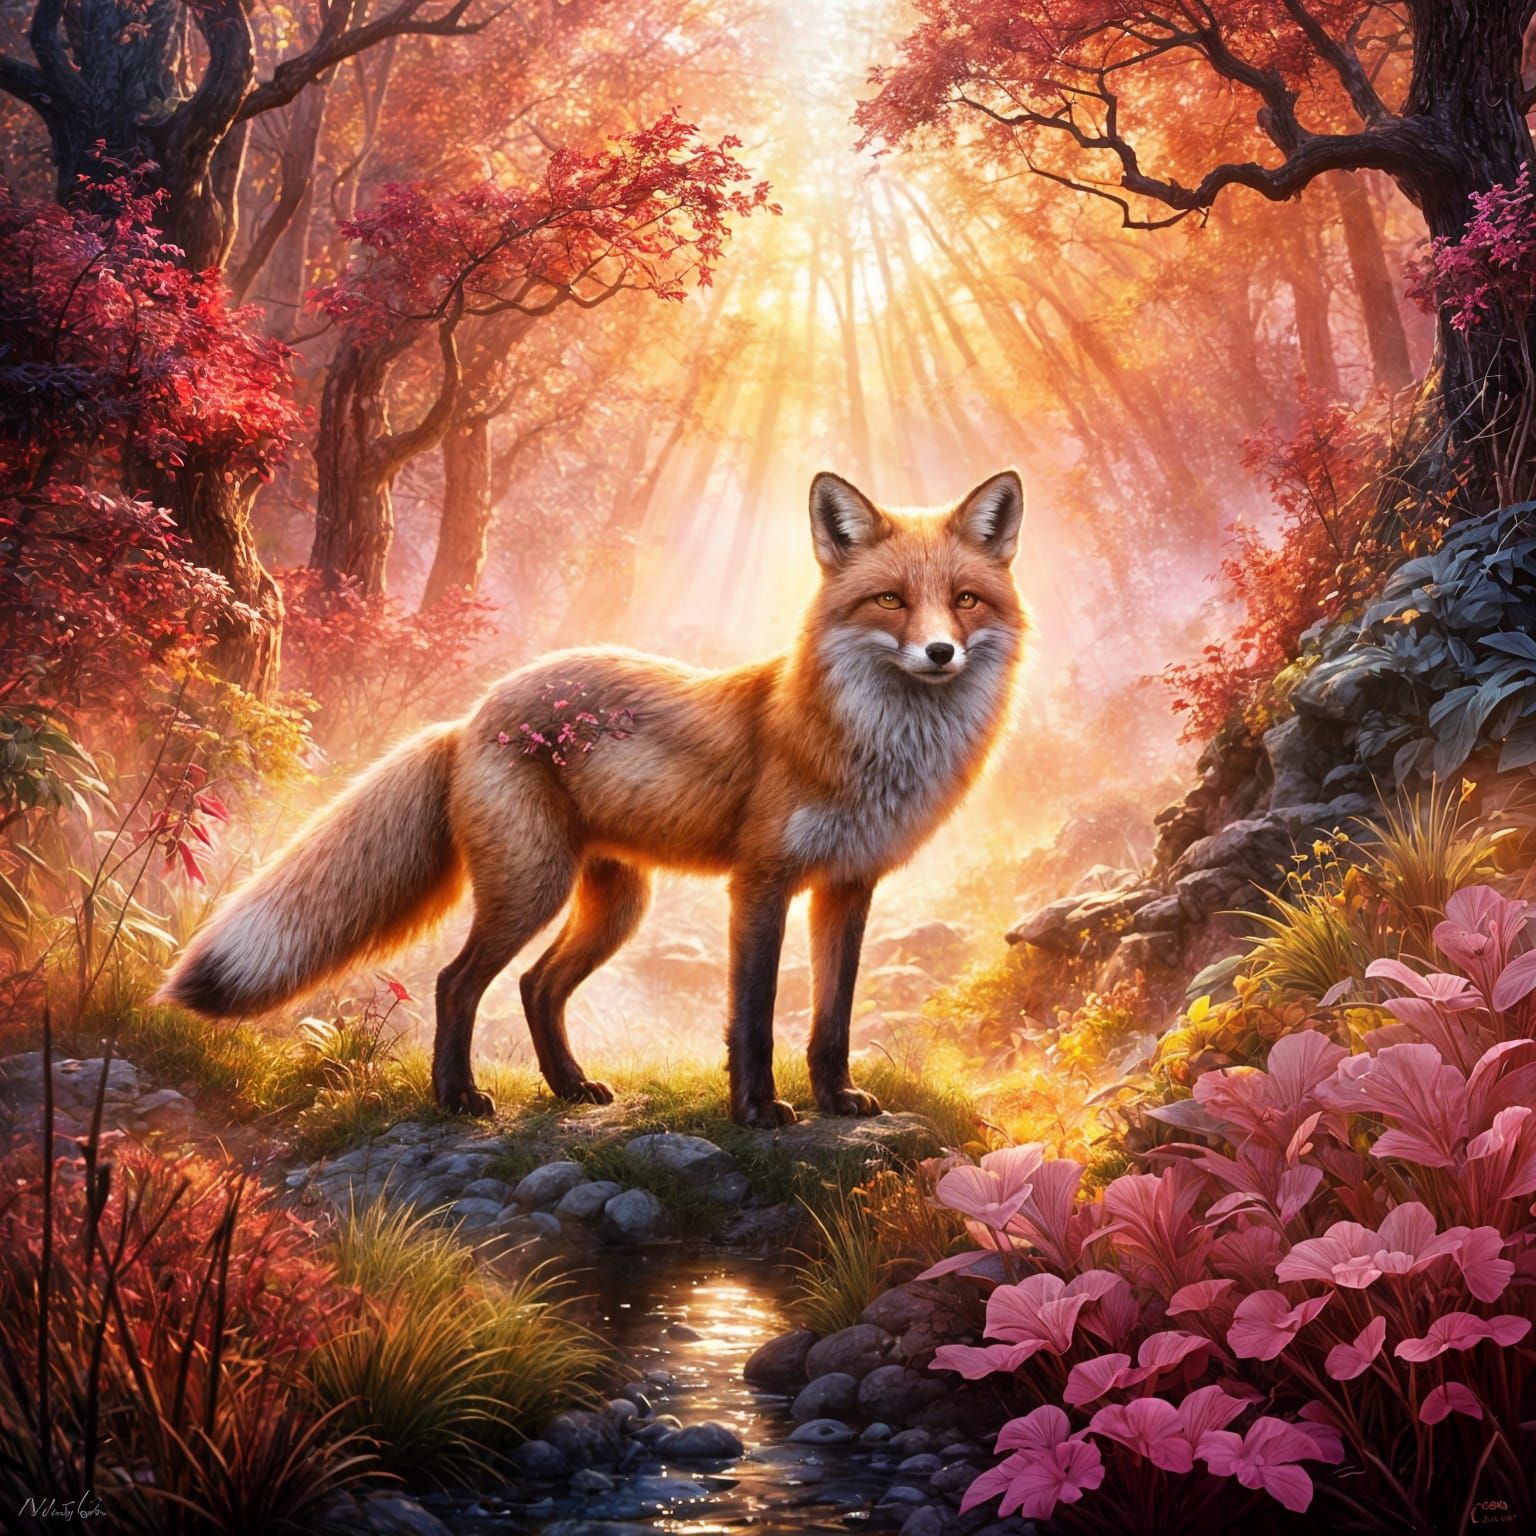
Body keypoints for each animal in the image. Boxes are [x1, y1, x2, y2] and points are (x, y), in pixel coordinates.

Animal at [159, 469, 1026, 1127]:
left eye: (965, 600)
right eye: (890, 601)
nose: (940, 652)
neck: (874, 751)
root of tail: (471, 715)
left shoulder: (848, 887)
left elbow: (832, 1019)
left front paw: (837, 1097)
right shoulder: (762, 882)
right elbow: (752, 1017)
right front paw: (755, 1112)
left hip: (617, 904)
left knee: (536, 987)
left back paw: (570, 1087)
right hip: (532, 888)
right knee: (457, 982)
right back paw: (459, 1097)